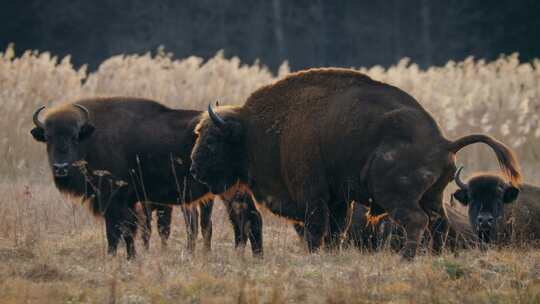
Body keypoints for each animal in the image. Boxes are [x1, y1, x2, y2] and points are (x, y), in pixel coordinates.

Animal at [31, 98, 264, 258]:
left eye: (74, 137)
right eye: (48, 138)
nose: (60, 167)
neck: (92, 137)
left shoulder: (114, 199)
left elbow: (117, 230)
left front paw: (118, 257)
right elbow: (128, 230)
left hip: (233, 189)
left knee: (250, 218)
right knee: (241, 221)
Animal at [189, 67, 520, 258]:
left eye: (212, 139)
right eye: (199, 134)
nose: (194, 168)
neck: (256, 130)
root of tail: (444, 141)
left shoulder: (313, 195)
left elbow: (316, 229)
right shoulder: (338, 199)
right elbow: (336, 230)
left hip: (395, 194)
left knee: (415, 220)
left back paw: (406, 258)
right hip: (434, 195)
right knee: (438, 224)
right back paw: (436, 257)